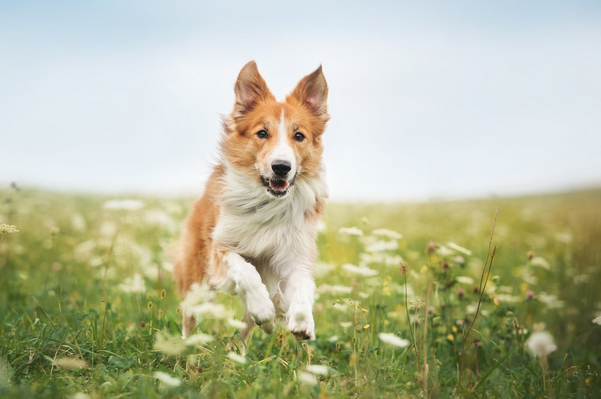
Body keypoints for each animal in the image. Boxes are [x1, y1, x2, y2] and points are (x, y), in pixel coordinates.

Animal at [173, 61, 328, 342]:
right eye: (262, 133)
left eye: (299, 136)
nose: (281, 167)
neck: (268, 203)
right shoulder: (219, 248)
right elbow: (246, 270)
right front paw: (263, 308)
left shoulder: (295, 256)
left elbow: (304, 285)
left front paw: (302, 322)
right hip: (197, 281)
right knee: (190, 318)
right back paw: (188, 346)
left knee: (243, 333)